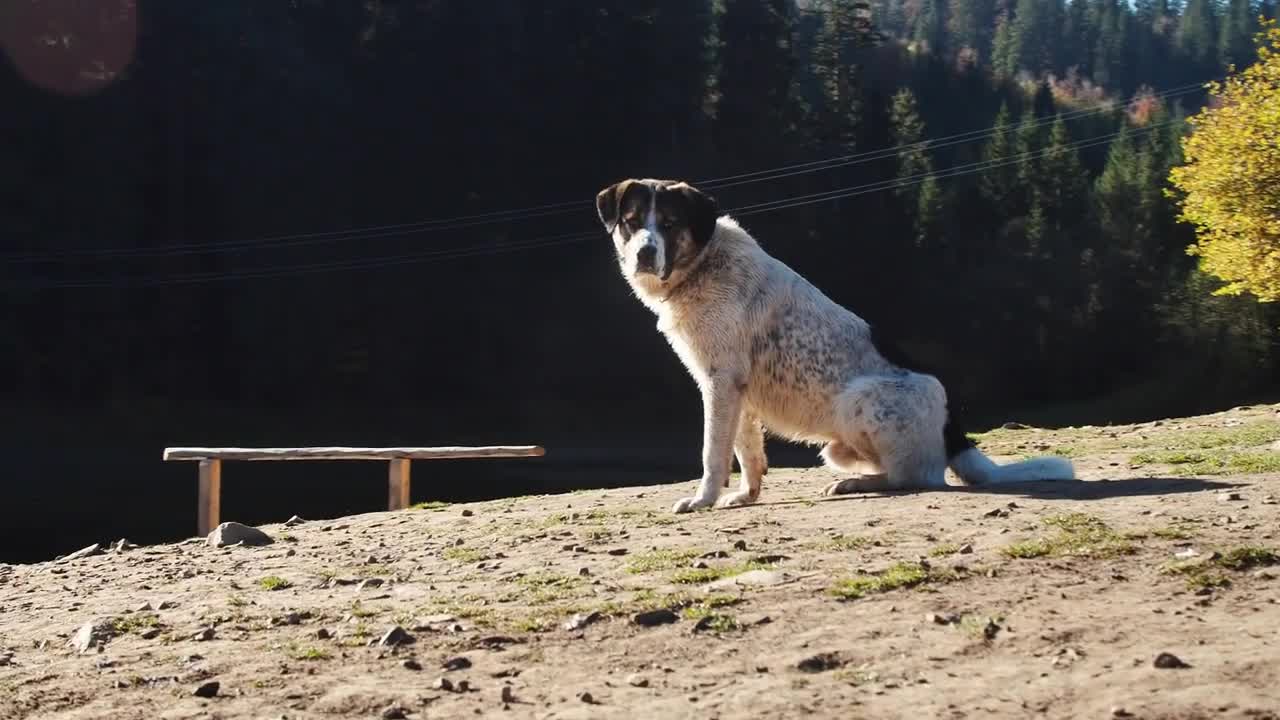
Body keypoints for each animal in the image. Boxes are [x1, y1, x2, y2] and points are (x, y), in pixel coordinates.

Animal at [593, 175, 1075, 509]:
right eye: (631, 224)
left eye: (669, 224)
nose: (643, 254)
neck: (703, 263)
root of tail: (953, 428)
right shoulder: (738, 391)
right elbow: (747, 451)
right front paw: (747, 496)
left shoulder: (719, 383)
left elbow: (713, 452)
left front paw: (702, 500)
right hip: (838, 445)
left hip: (858, 399)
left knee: (918, 477)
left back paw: (858, 483)